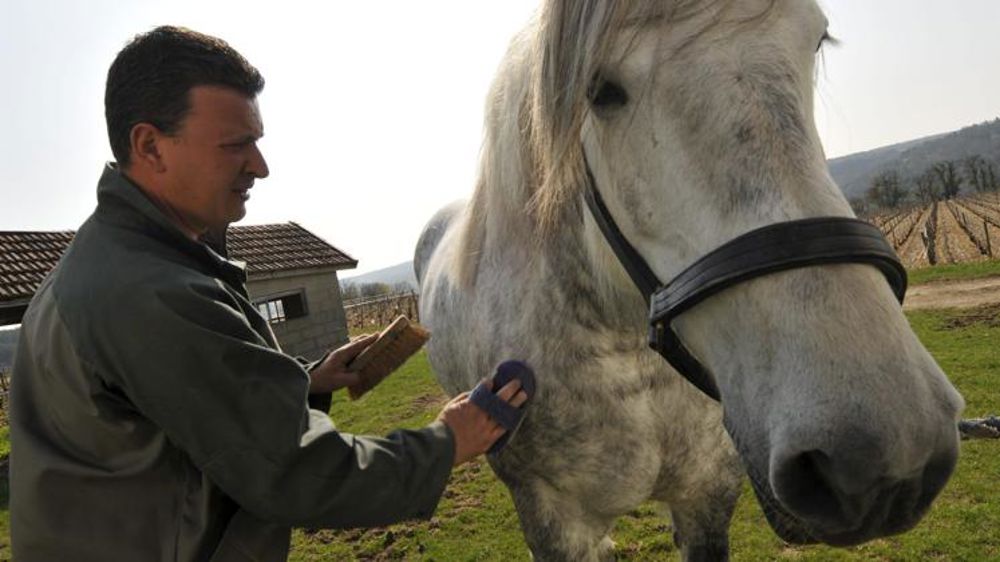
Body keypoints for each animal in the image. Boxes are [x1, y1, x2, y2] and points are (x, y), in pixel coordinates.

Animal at [414, 1, 964, 560]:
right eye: (598, 88)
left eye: (817, 40)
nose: (889, 451)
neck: (632, 361)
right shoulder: (553, 520)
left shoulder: (708, 496)